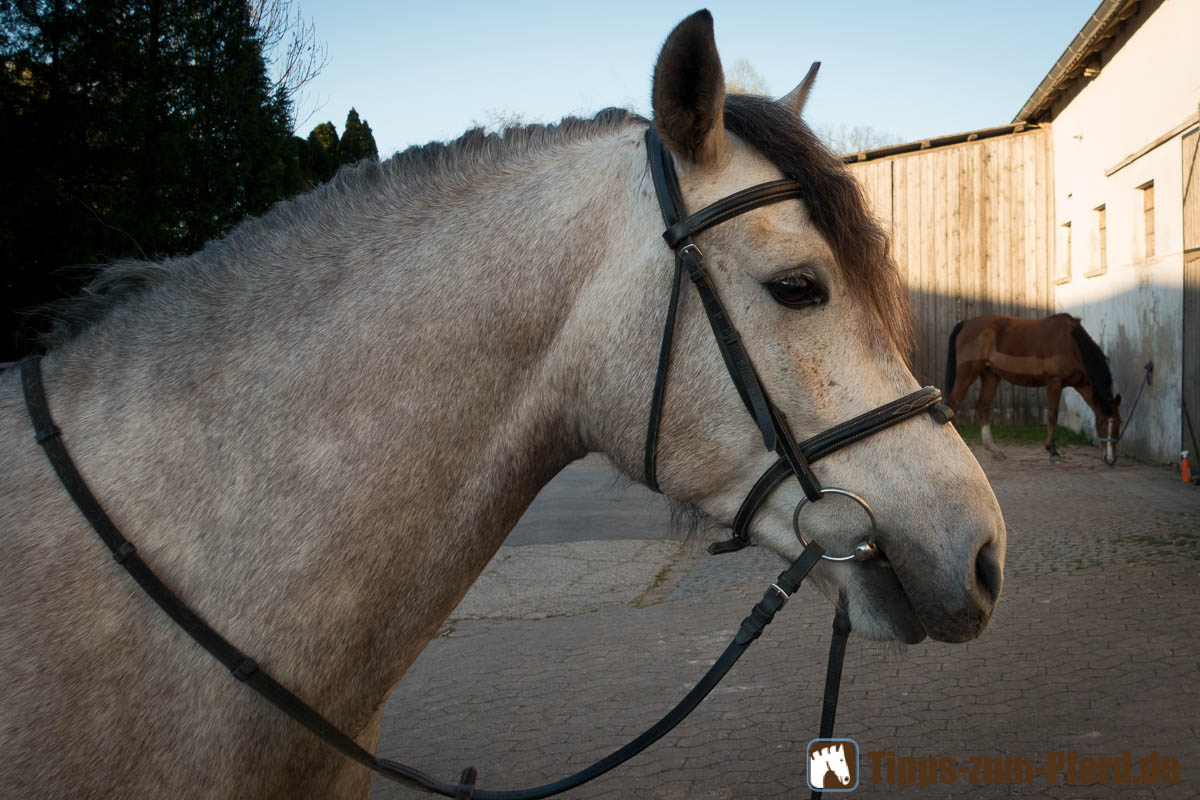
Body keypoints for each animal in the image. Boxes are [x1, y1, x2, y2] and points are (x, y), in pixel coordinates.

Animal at [945, 311, 1123, 462]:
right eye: (1101, 423)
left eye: (1119, 423)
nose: (1110, 459)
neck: (1071, 344)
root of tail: (966, 323)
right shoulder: (1054, 382)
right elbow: (1052, 415)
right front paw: (1053, 452)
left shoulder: (1083, 384)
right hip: (967, 372)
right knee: (953, 404)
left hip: (991, 375)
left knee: (982, 406)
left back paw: (994, 450)